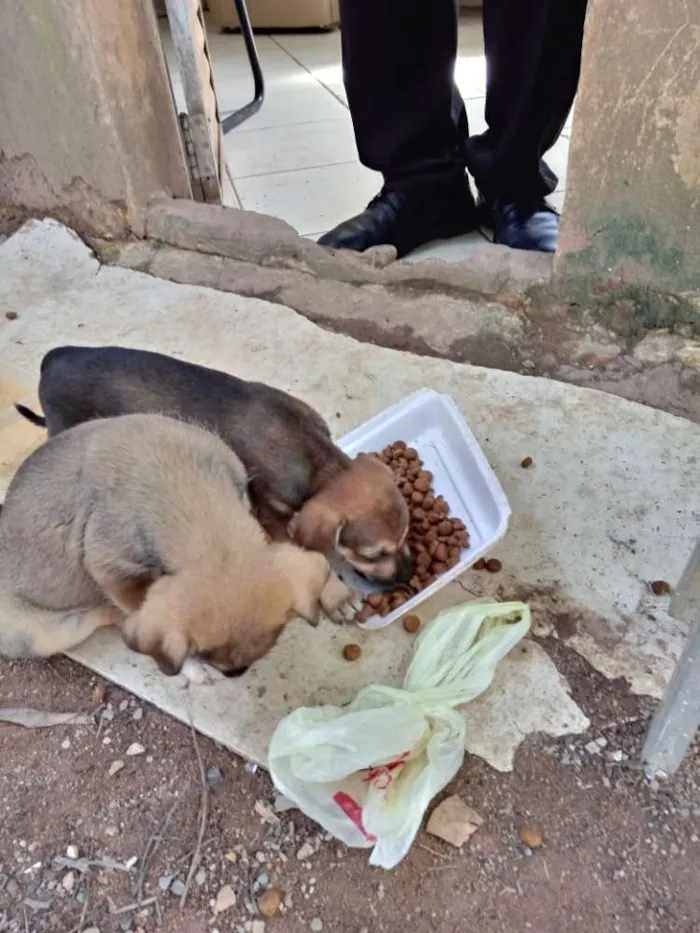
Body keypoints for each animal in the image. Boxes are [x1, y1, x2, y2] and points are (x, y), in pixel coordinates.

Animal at [16, 346, 412, 584]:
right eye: (374, 554)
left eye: (406, 536)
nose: (408, 576)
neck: (316, 461)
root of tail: (52, 357)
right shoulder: (271, 512)